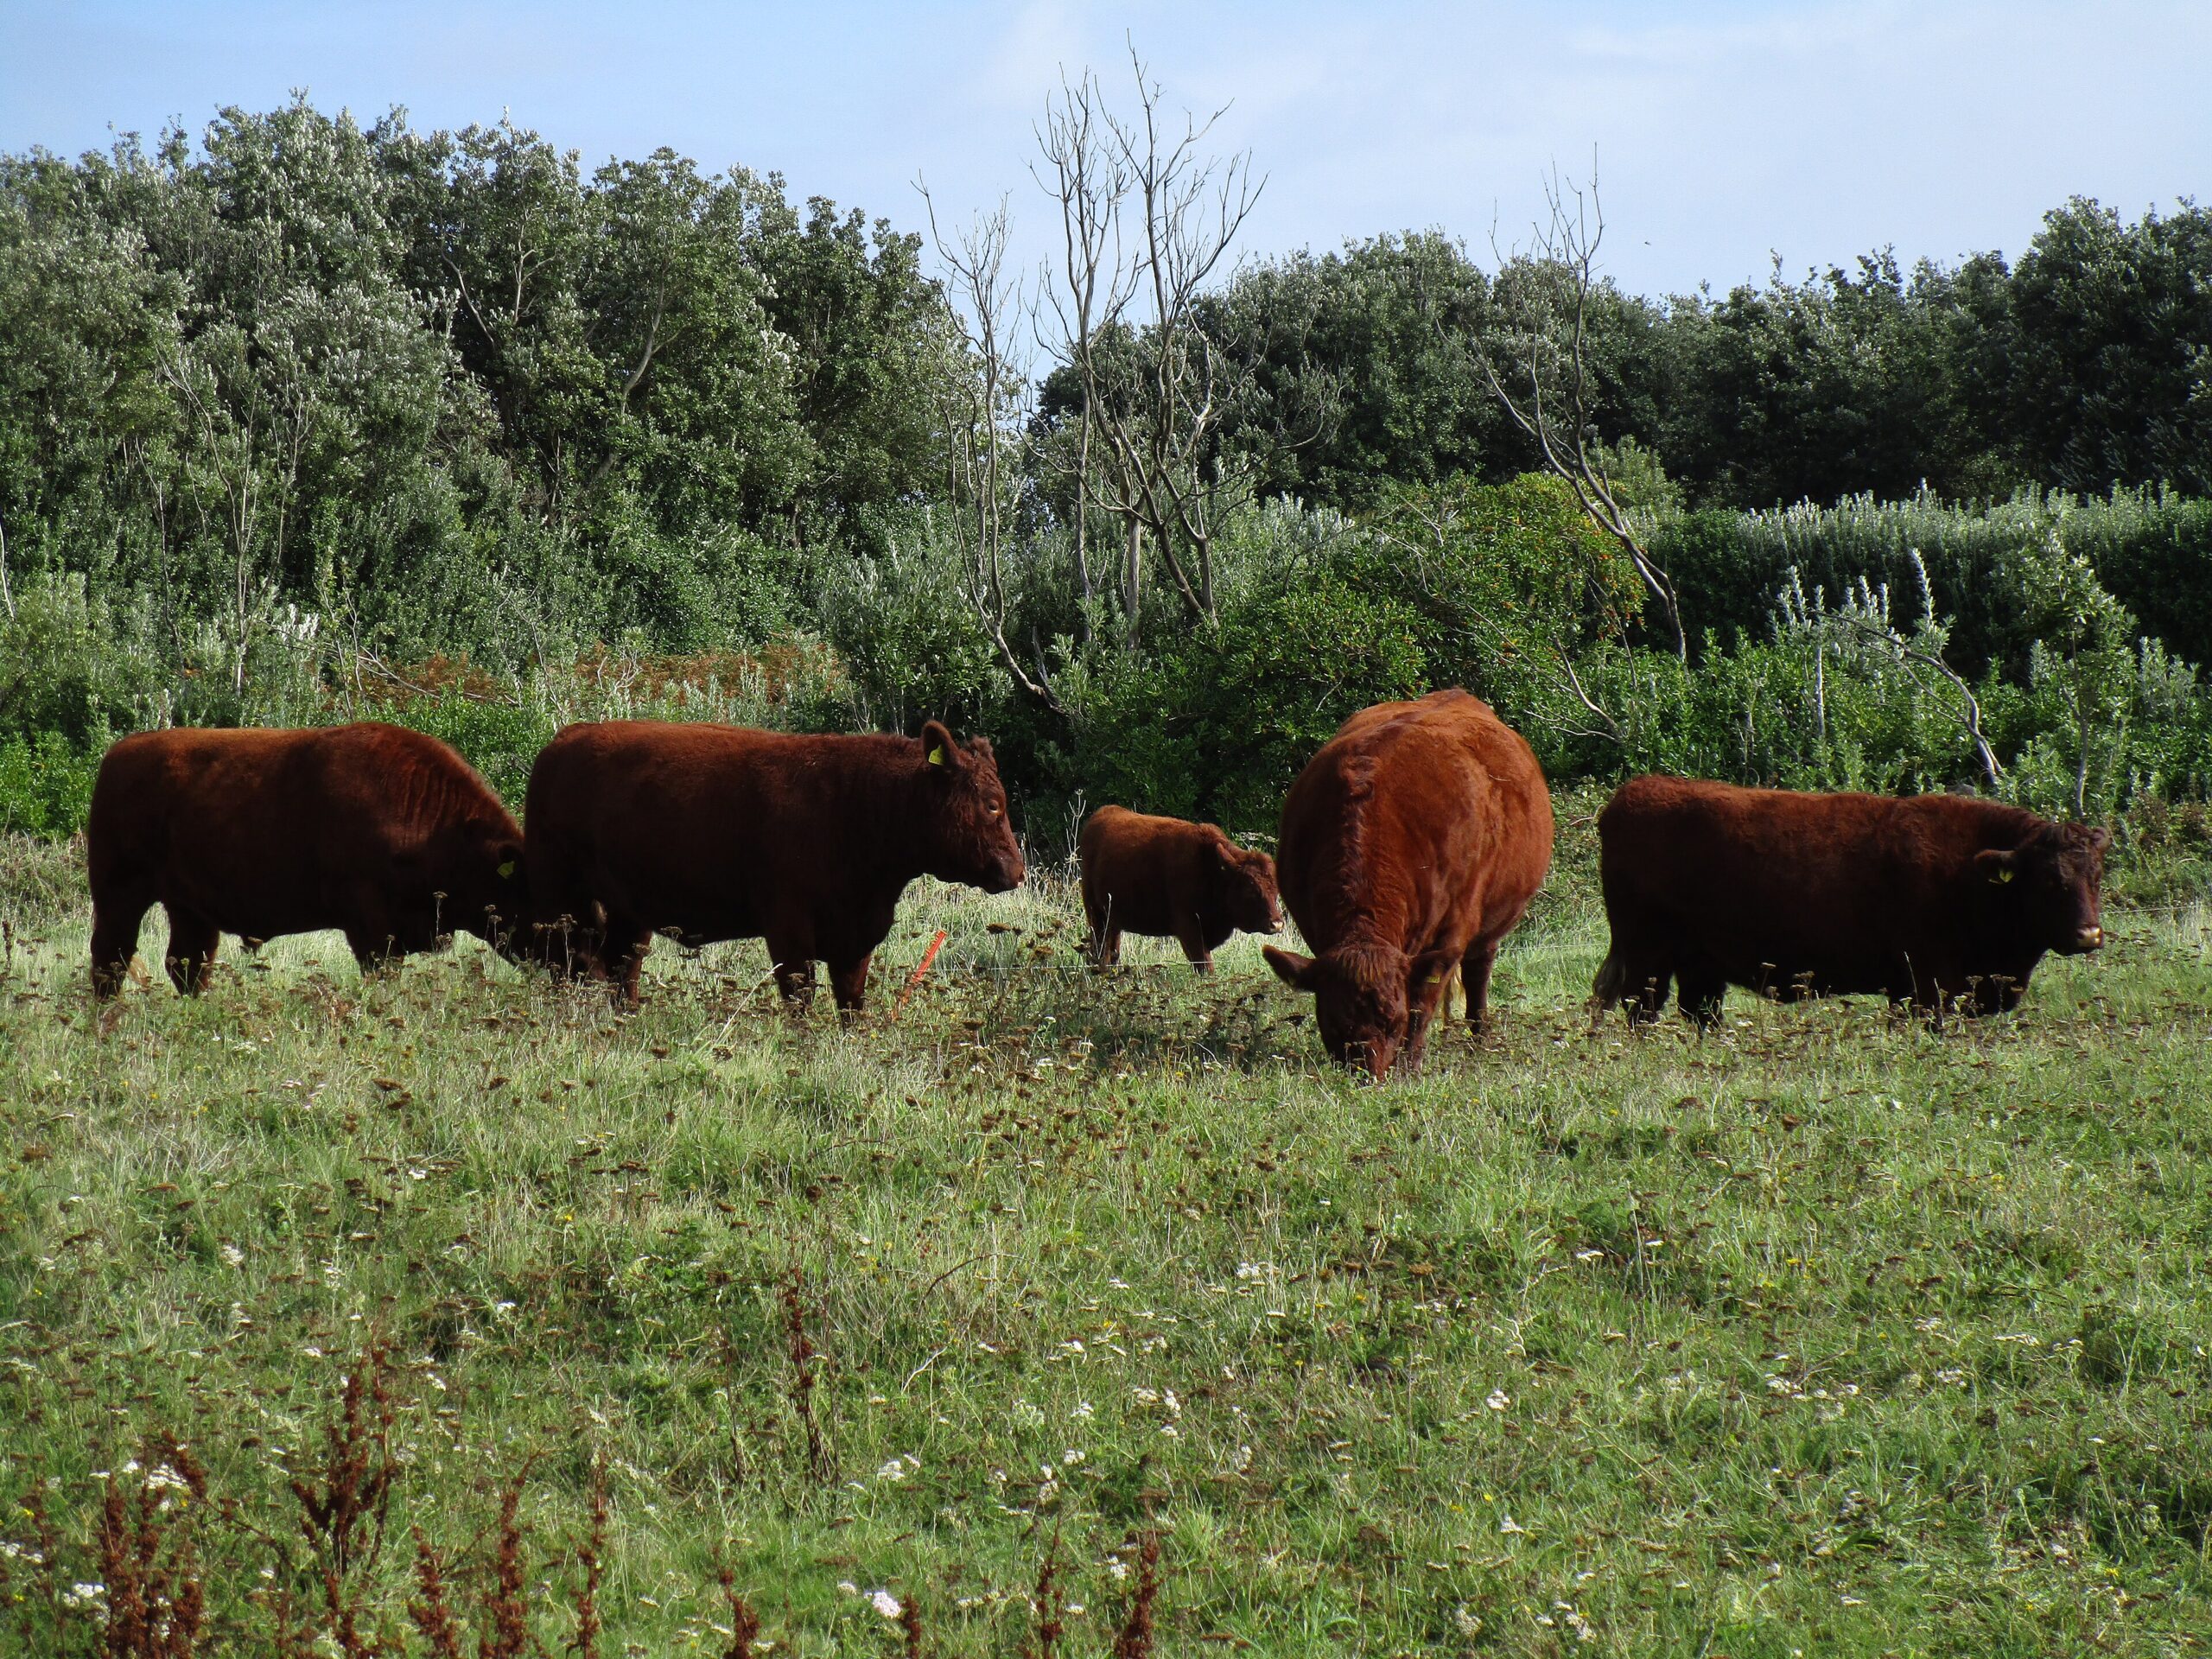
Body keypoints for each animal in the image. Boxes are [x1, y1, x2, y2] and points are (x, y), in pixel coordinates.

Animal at [87, 722, 528, 997]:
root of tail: (116, 756)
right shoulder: (371, 929)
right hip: (119, 896)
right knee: (111, 958)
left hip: (189, 909)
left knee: (187, 964)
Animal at [522, 718, 1025, 1008]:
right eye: (993, 805)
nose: (1016, 871)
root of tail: (567, 737)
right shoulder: (788, 929)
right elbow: (800, 1000)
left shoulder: (855, 938)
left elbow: (851, 1003)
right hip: (559, 894)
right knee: (569, 964)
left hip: (629, 910)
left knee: (620, 971)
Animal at [1077, 805, 1280, 971]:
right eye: (1250, 890)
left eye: (1276, 891)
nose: (1277, 924)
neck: (1212, 869)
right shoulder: (1189, 927)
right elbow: (1204, 964)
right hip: (1096, 913)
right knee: (1101, 949)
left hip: (1113, 918)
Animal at [1263, 689, 1554, 1078]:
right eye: (1334, 1025)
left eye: (1392, 1021)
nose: (1366, 1077)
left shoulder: (1452, 930)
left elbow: (1422, 1002)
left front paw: (1410, 1065)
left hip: (1493, 922)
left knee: (1478, 972)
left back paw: (1479, 1039)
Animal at [1591, 775, 2109, 1026]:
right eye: (2048, 880)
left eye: (2097, 875)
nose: (2089, 935)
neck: (1966, 868)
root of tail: (1631, 793)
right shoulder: (1926, 987)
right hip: (1648, 960)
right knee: (1642, 1013)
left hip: (1700, 967)